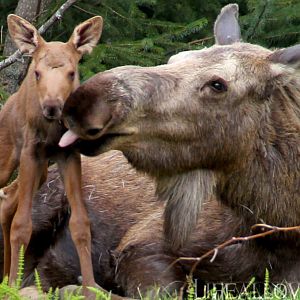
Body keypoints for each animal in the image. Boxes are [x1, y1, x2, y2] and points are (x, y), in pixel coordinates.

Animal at [0, 13, 103, 296]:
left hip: (43, 171)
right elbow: (22, 225)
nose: (52, 107)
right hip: (9, 155)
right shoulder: (30, 152)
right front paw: (14, 289)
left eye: (71, 72)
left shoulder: (68, 155)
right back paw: (7, 279)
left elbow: (81, 224)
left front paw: (90, 289)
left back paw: (5, 276)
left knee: (6, 201)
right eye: (37, 73)